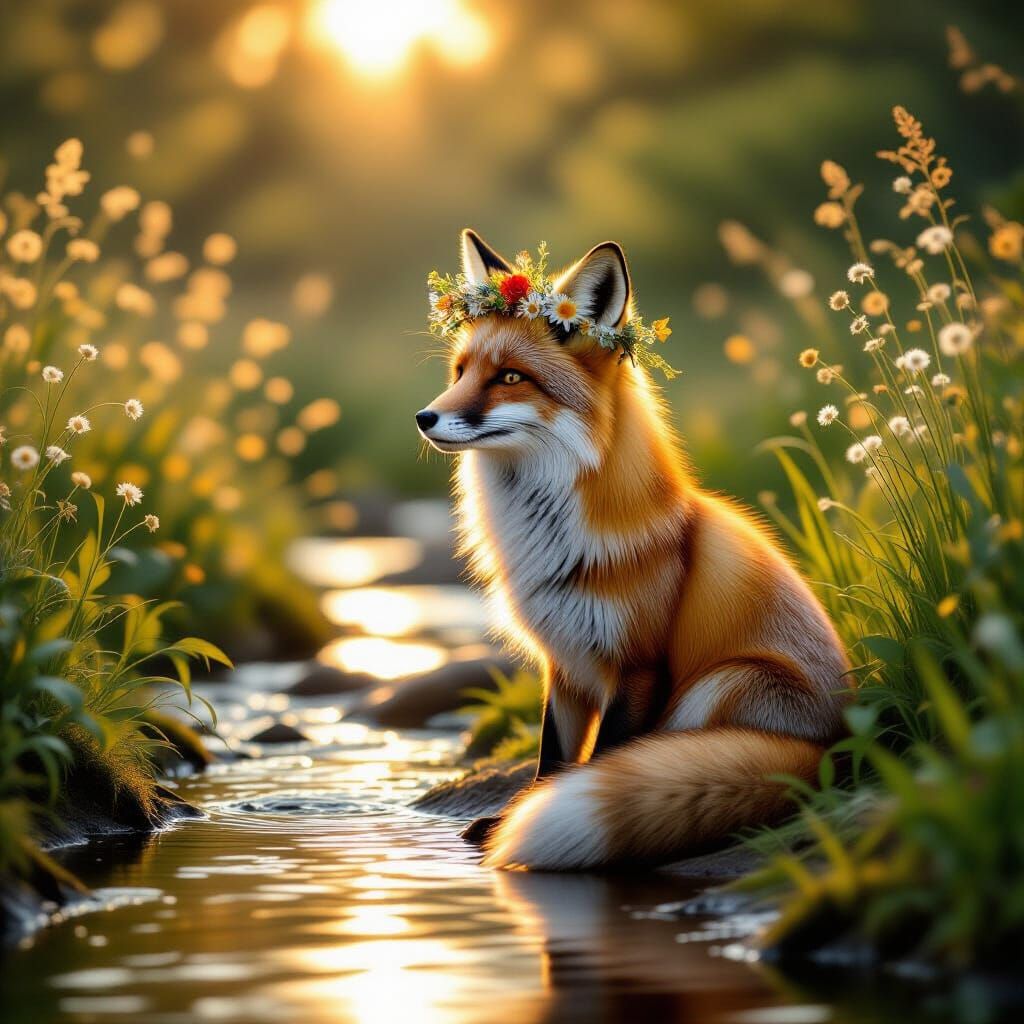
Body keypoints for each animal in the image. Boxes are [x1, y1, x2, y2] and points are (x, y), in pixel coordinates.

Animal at [415, 228, 850, 871]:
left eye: (511, 378)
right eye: (462, 370)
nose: (425, 417)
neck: (554, 540)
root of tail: (836, 753)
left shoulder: (638, 665)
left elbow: (603, 759)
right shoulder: (564, 662)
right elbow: (551, 758)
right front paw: (517, 815)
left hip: (723, 682)